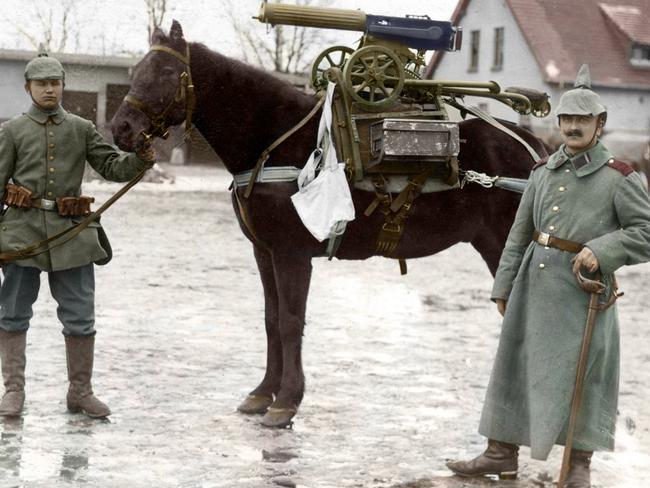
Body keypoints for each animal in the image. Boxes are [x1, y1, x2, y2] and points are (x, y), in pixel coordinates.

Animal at [111, 21, 548, 428]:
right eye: (137, 69)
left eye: (168, 71)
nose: (122, 129)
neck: (274, 142)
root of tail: (538, 150)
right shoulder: (264, 251)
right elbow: (271, 319)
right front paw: (262, 393)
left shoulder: (292, 254)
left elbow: (290, 322)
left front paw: (286, 401)